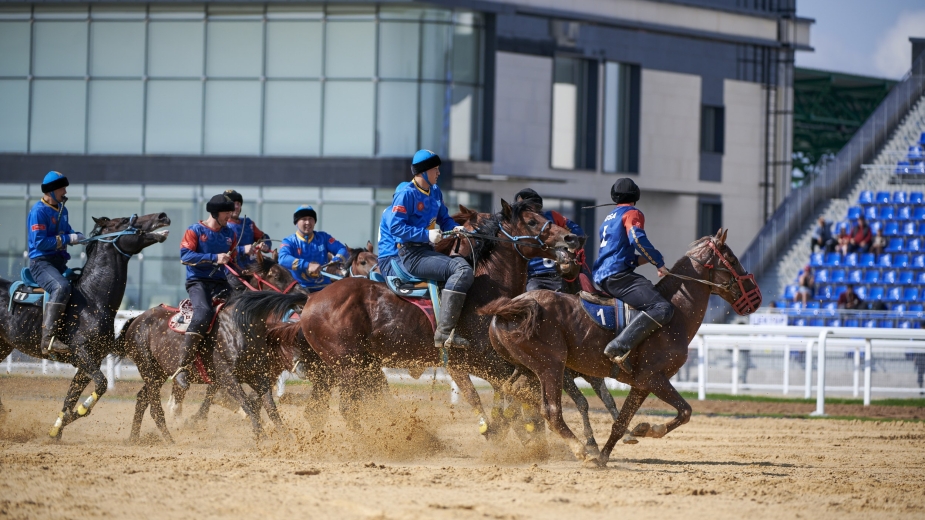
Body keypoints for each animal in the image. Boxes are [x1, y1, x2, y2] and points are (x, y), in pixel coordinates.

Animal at [0, 212, 171, 438]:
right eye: (125, 220)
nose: (162, 216)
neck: (91, 299)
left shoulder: (90, 361)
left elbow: (70, 397)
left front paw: (56, 430)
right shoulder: (82, 353)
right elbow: (101, 385)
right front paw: (78, 413)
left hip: (3, 346)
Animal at [231, 201, 580, 436]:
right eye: (532, 220)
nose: (571, 239)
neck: (485, 290)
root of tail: (311, 299)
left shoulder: (496, 363)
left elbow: (512, 390)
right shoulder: (470, 361)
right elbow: (487, 394)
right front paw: (494, 429)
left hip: (337, 369)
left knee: (316, 412)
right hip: (348, 366)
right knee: (346, 409)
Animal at [476, 230, 756, 466]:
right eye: (732, 259)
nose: (756, 296)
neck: (674, 314)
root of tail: (512, 307)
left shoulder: (641, 384)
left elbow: (621, 422)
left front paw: (609, 452)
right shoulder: (653, 378)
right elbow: (685, 411)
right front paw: (643, 431)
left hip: (526, 368)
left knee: (511, 391)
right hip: (551, 367)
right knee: (551, 410)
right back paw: (580, 450)